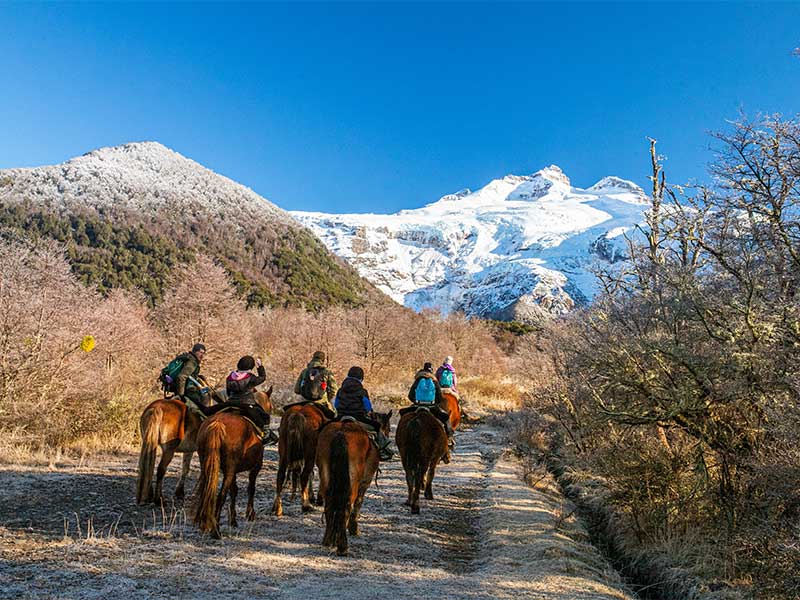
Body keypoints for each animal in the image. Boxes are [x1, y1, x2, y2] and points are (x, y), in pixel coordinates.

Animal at [135, 385, 272, 505]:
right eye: (268, 407)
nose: (266, 427)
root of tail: (157, 408)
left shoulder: (190, 450)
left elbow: (186, 469)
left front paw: (180, 492)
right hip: (169, 450)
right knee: (160, 470)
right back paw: (159, 499)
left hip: (150, 443)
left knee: (148, 464)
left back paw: (148, 495)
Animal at [192, 388, 273, 538]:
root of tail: (217, 424)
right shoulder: (256, 467)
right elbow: (251, 488)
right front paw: (250, 514)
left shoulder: (233, 471)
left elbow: (234, 491)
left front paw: (233, 520)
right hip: (230, 469)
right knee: (221, 495)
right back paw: (216, 530)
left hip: (207, 465)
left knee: (206, 491)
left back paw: (203, 524)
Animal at [316, 411, 392, 556]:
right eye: (389, 428)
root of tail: (341, 433)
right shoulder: (365, 482)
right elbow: (358, 503)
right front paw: (353, 528)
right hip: (353, 482)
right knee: (346, 506)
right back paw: (342, 547)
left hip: (326, 476)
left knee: (329, 504)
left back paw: (328, 540)